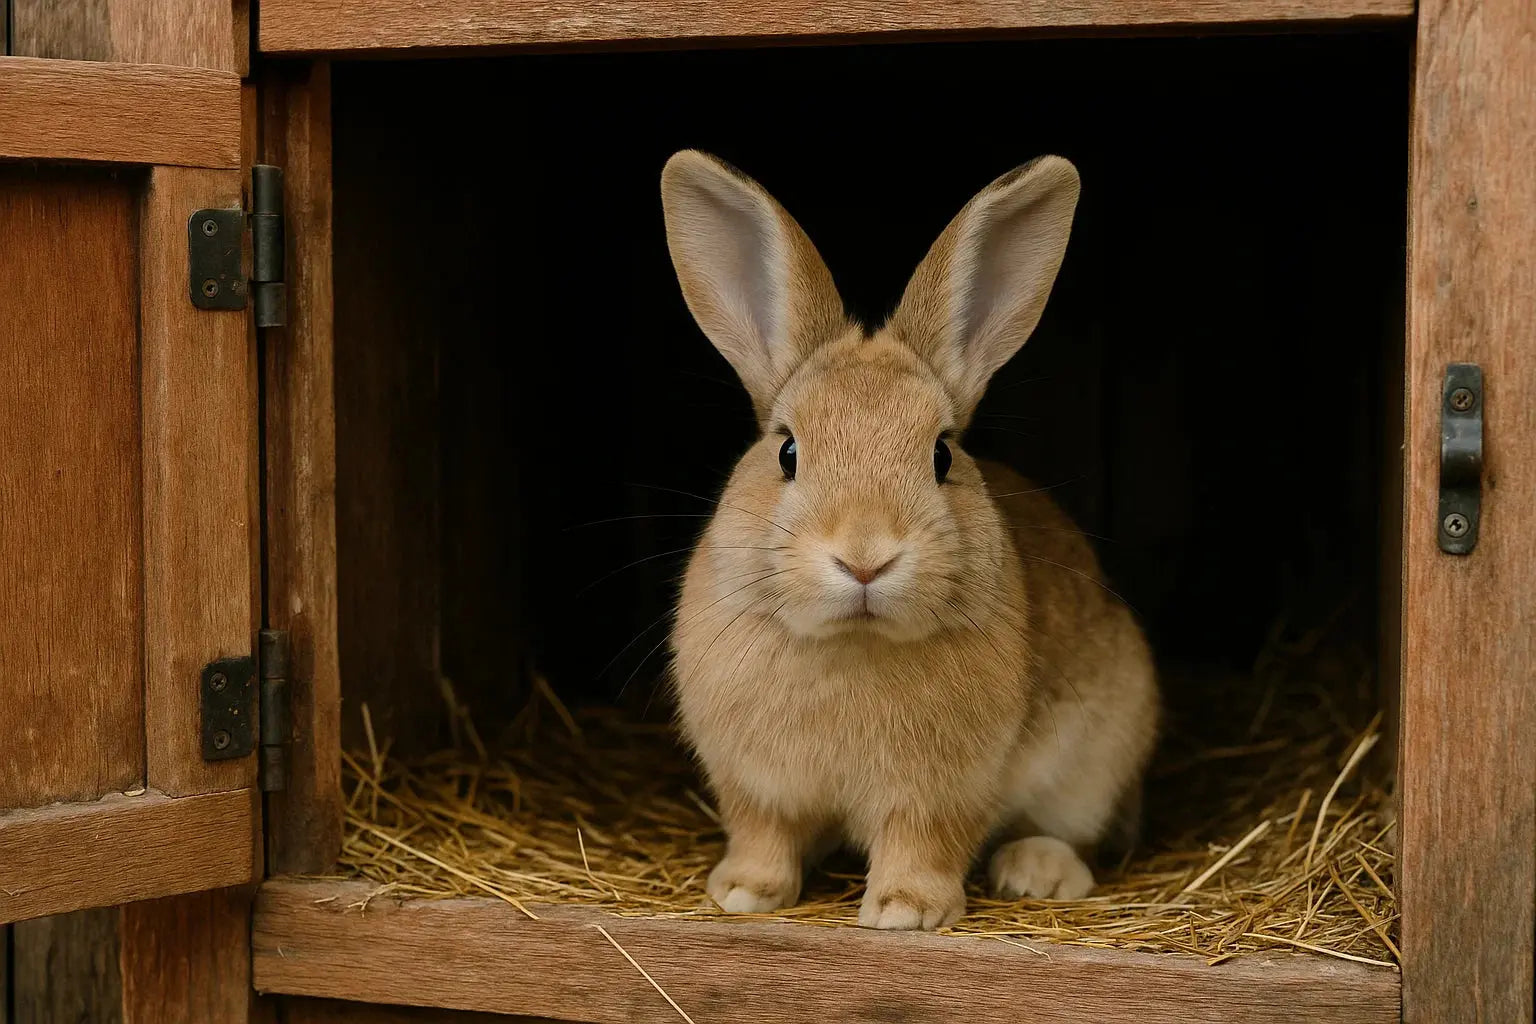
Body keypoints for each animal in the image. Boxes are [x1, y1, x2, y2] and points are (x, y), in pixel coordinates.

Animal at [661, 150, 1159, 931]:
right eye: (787, 452)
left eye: (942, 454)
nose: (865, 556)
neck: (851, 644)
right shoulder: (757, 789)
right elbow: (764, 837)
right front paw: (743, 893)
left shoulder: (939, 795)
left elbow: (922, 844)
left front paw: (904, 912)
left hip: (1098, 757)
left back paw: (1038, 872)